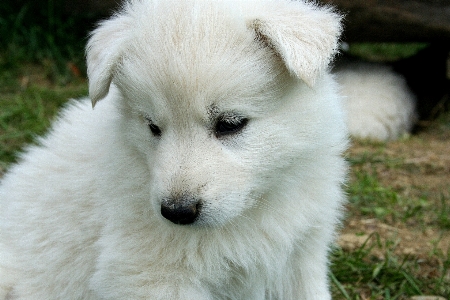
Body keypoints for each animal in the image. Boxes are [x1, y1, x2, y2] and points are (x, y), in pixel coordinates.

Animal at [0, 1, 348, 298]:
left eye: (230, 124)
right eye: (153, 127)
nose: (177, 213)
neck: (253, 209)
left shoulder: (300, 256)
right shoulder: (150, 273)